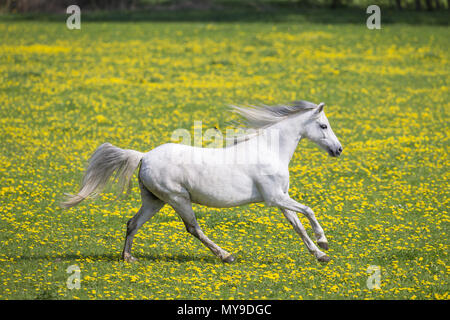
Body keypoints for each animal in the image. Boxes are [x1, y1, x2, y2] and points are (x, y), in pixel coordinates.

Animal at [63, 100, 342, 262]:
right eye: (324, 126)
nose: (338, 150)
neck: (269, 150)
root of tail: (144, 156)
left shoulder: (281, 198)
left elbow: (298, 226)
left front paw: (320, 255)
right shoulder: (275, 198)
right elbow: (309, 210)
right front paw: (323, 241)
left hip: (154, 201)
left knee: (132, 223)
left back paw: (128, 258)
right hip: (177, 198)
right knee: (193, 228)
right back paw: (226, 256)